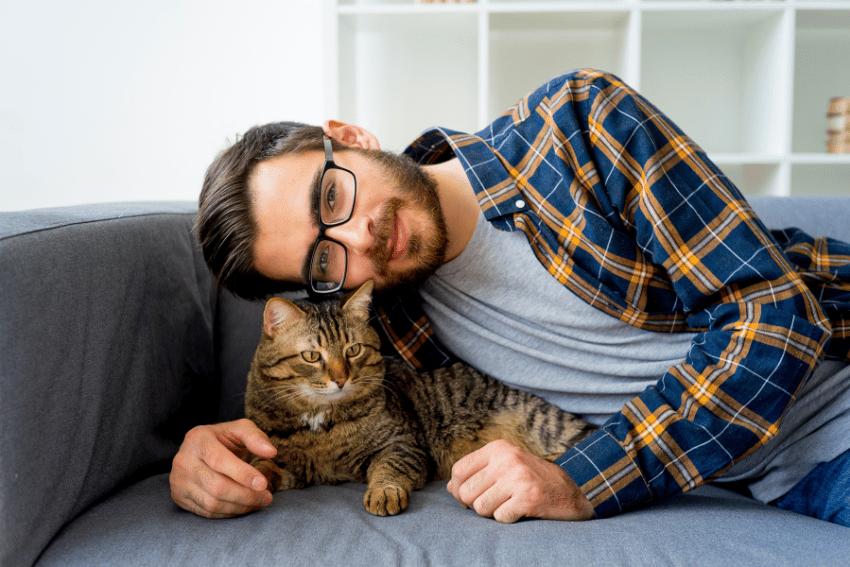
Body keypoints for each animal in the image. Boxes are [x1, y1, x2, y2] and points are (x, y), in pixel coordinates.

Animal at [242, 282, 592, 516]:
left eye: (353, 350)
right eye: (312, 356)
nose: (341, 379)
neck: (320, 423)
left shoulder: (402, 444)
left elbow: (388, 469)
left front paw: (383, 492)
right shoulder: (298, 468)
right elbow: (263, 466)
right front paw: (254, 478)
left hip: (546, 427)